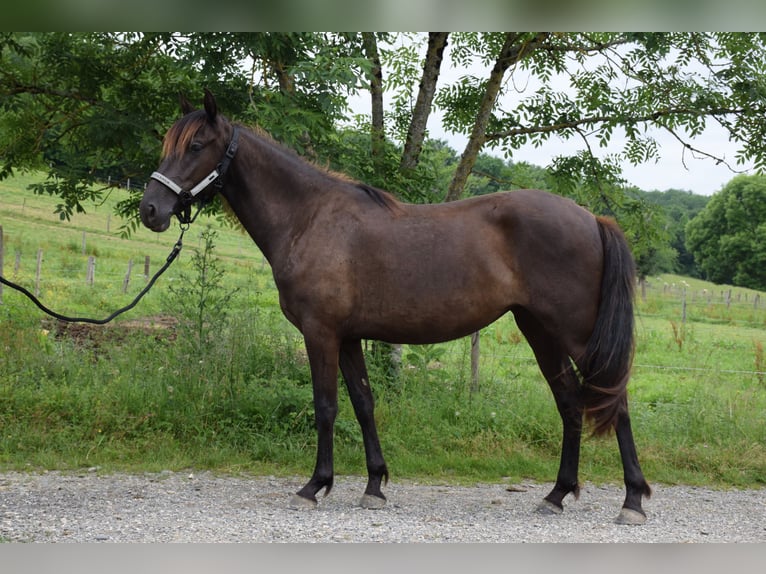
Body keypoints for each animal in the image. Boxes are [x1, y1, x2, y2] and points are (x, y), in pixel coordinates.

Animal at [140, 90, 656, 528]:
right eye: (169, 144)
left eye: (196, 145)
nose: (151, 210)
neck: (309, 218)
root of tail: (592, 217)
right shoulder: (348, 336)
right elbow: (364, 404)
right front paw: (374, 485)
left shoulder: (320, 333)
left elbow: (325, 406)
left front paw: (315, 485)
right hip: (540, 331)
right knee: (570, 402)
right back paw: (557, 494)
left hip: (575, 334)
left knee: (614, 400)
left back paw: (632, 500)